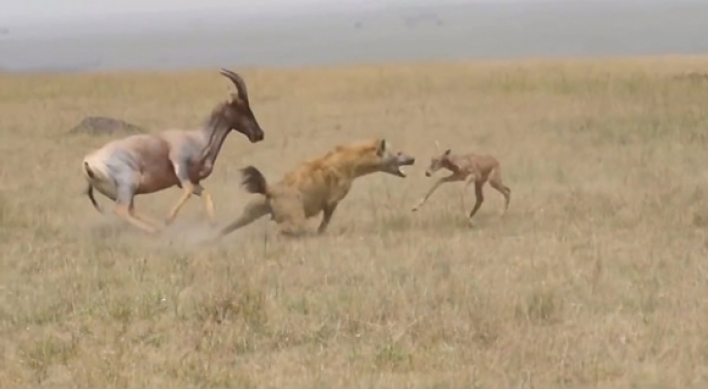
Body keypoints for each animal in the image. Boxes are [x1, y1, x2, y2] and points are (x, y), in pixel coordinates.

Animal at [82, 68, 266, 232]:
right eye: (241, 106)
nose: (259, 134)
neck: (198, 138)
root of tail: (88, 162)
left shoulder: (192, 180)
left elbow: (206, 194)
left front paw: (214, 225)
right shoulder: (179, 164)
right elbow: (188, 190)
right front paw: (168, 219)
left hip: (124, 192)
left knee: (130, 210)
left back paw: (157, 226)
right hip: (128, 184)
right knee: (121, 210)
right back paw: (156, 230)